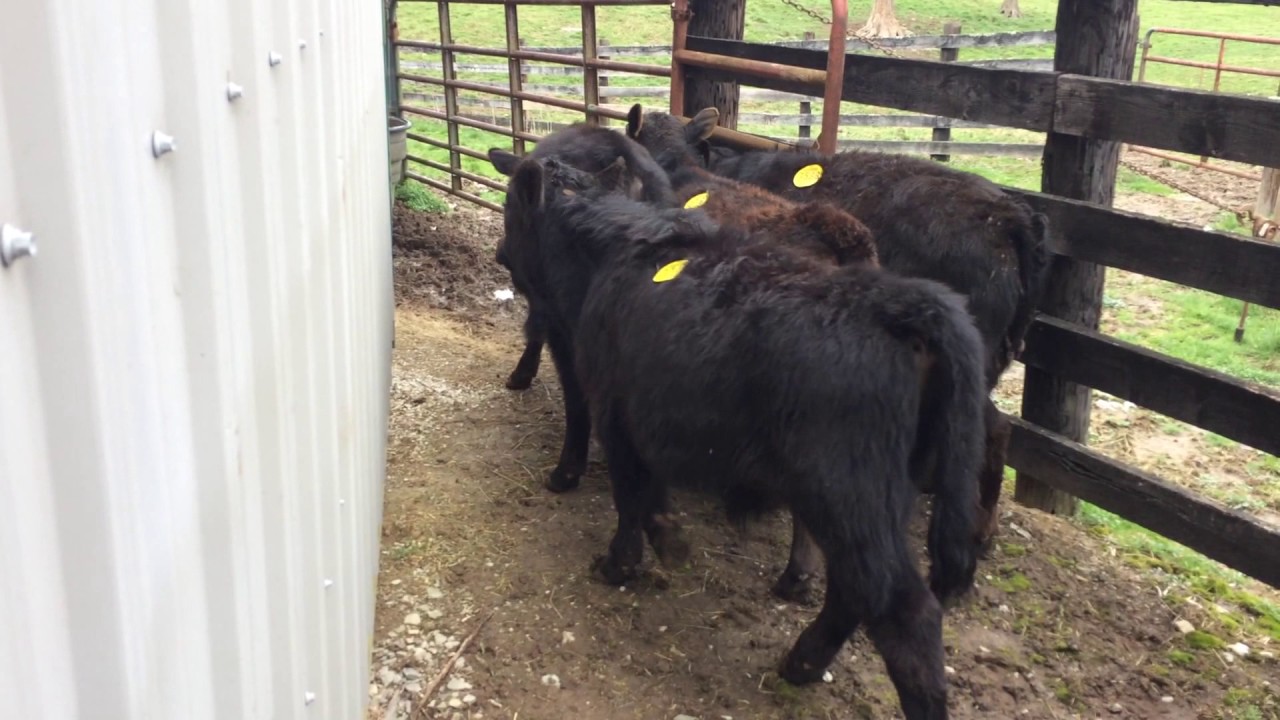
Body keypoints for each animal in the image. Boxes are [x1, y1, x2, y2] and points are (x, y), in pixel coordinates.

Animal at [501, 154, 986, 720]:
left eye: (511, 207)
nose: (501, 253)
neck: (614, 249)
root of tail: (901, 303)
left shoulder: (613, 407)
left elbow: (629, 494)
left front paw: (622, 560)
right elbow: (650, 493)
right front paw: (667, 539)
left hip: (849, 499)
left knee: (903, 613)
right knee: (853, 592)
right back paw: (800, 662)